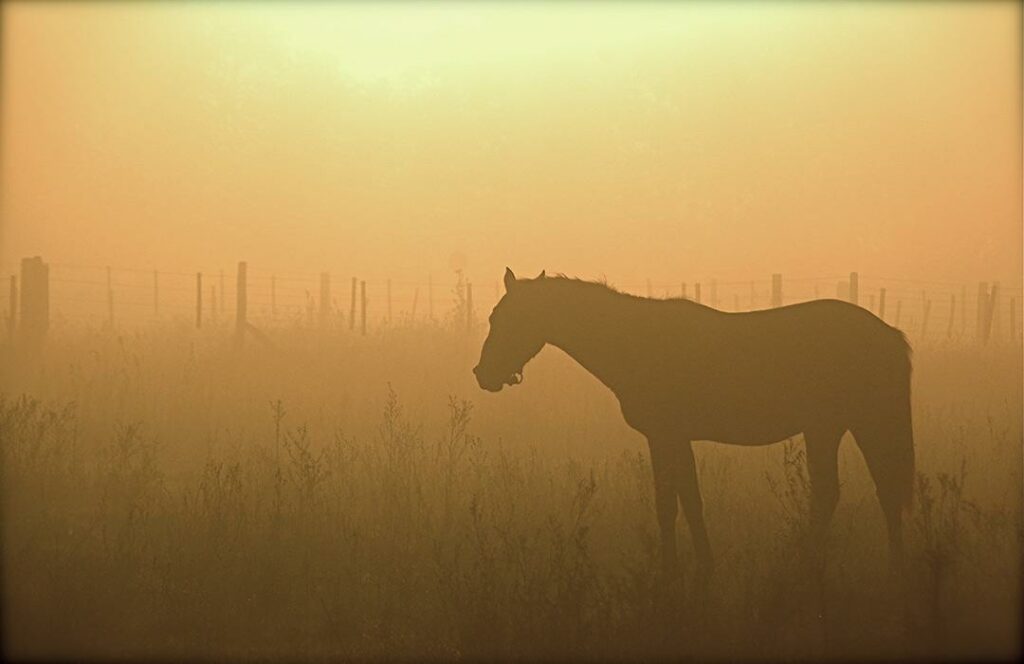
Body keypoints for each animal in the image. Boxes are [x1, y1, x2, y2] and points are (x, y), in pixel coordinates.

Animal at [475, 266, 917, 577]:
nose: (483, 375)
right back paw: (885, 568)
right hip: (843, 426)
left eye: (510, 319)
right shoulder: (669, 439)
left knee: (846, 492)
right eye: (494, 317)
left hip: (840, 425)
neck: (635, 340)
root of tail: (888, 333)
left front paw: (679, 569)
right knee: (873, 491)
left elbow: (674, 503)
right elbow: (682, 500)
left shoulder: (665, 435)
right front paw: (693, 566)